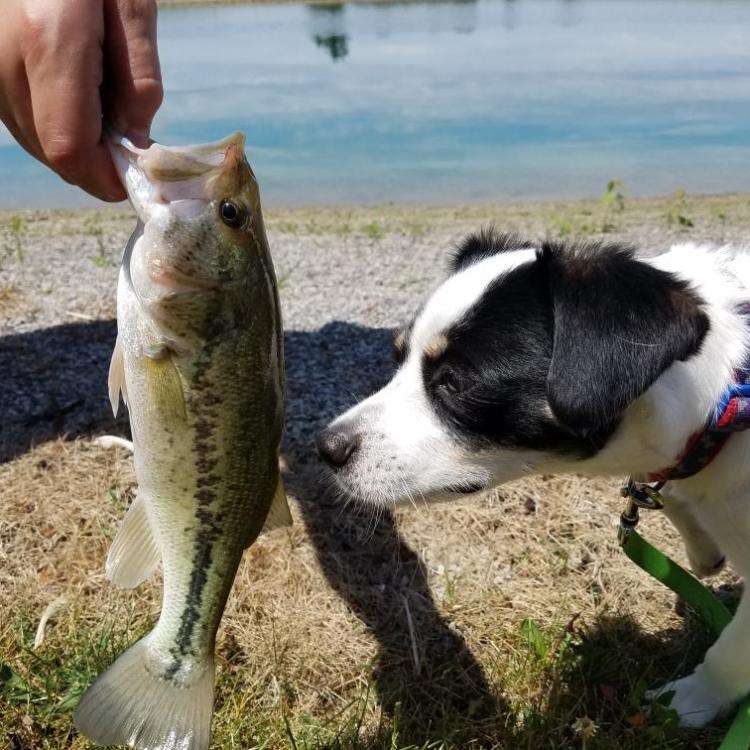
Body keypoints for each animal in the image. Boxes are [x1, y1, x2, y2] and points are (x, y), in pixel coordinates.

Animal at [320, 232, 750, 732]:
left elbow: (731, 652)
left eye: (455, 382)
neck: (727, 401)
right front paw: (704, 550)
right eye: (397, 358)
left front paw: (688, 701)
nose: (325, 449)